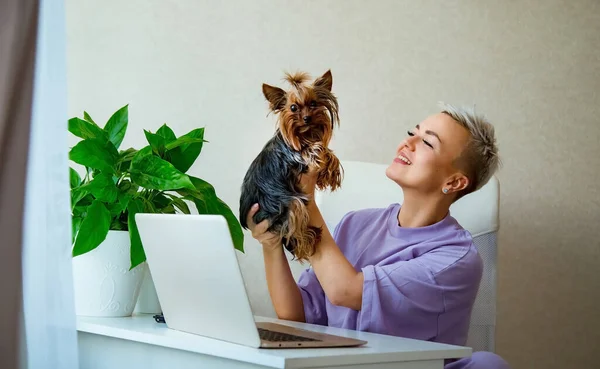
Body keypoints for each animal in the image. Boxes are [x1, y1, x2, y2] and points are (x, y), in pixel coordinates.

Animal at [239, 69, 342, 262]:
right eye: (293, 108)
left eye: (313, 103)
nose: (307, 118)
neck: (305, 135)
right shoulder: (298, 155)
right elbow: (320, 149)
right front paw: (330, 167)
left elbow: (325, 150)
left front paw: (328, 174)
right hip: (287, 203)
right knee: (294, 231)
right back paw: (309, 238)